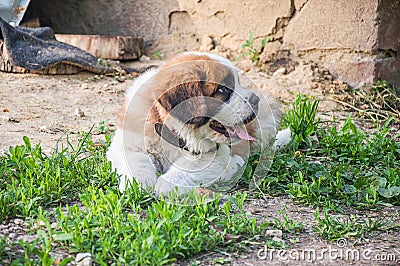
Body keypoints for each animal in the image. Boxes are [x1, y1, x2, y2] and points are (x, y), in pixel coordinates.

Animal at [106, 52, 288, 197]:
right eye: (223, 90)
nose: (255, 99)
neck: (171, 129)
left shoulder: (216, 155)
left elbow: (189, 168)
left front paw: (166, 183)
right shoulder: (128, 140)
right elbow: (136, 160)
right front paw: (138, 184)